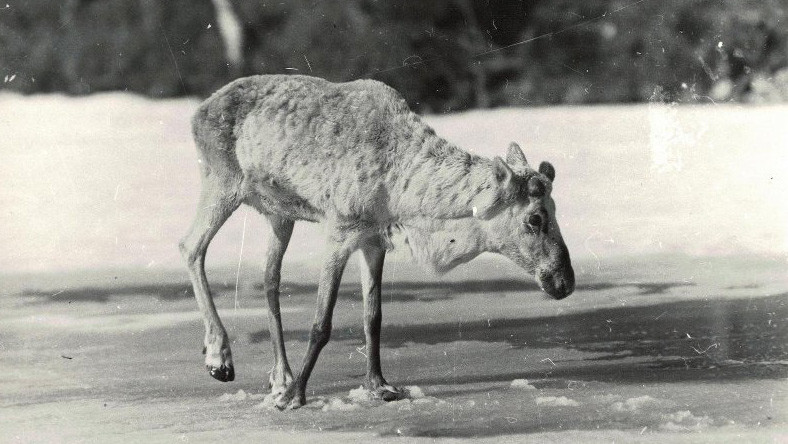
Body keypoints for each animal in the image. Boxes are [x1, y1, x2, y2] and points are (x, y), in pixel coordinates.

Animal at [179, 74, 575, 410]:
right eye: (535, 219)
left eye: (556, 209)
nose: (564, 281)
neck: (399, 185)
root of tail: (198, 112)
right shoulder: (339, 231)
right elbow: (321, 324)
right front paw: (295, 398)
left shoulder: (373, 240)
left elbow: (374, 316)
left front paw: (379, 385)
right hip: (222, 182)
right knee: (190, 247)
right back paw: (220, 359)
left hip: (280, 214)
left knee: (269, 278)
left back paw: (281, 377)